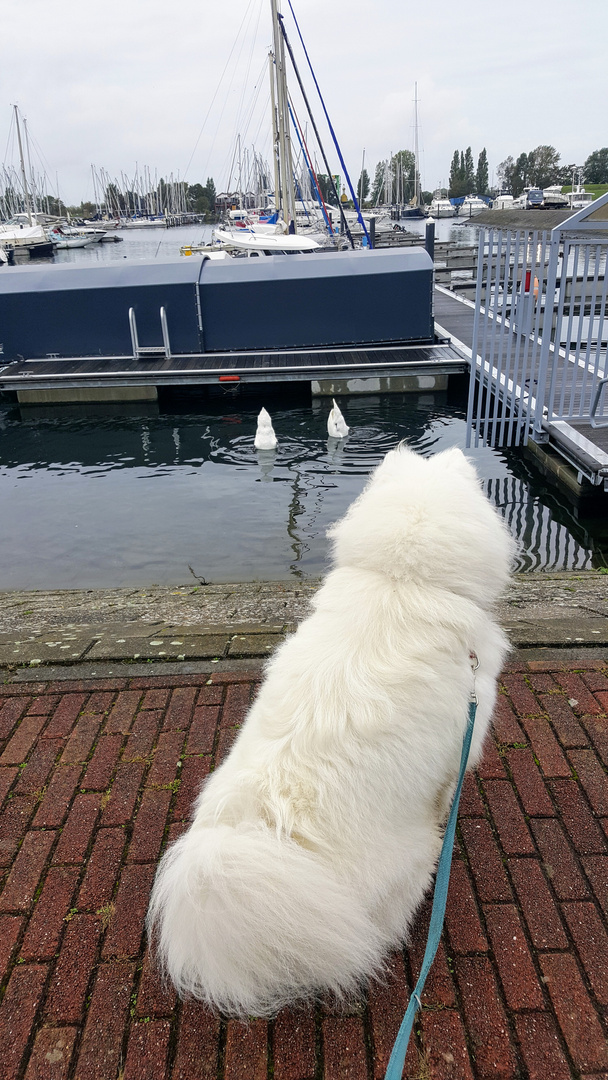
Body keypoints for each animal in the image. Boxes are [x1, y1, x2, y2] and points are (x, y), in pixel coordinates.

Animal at [147, 447, 514, 1019]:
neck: (402, 581)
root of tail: (264, 836)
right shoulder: (456, 753)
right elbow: (444, 800)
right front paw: (446, 827)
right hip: (400, 863)